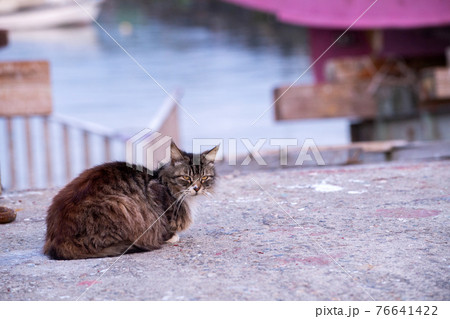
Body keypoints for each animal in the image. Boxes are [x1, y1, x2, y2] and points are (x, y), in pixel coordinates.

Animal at [43, 142, 218, 260]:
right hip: (122, 204)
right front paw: (171, 236)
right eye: (186, 178)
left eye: (204, 178)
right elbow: (167, 226)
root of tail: (56, 239)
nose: (196, 188)